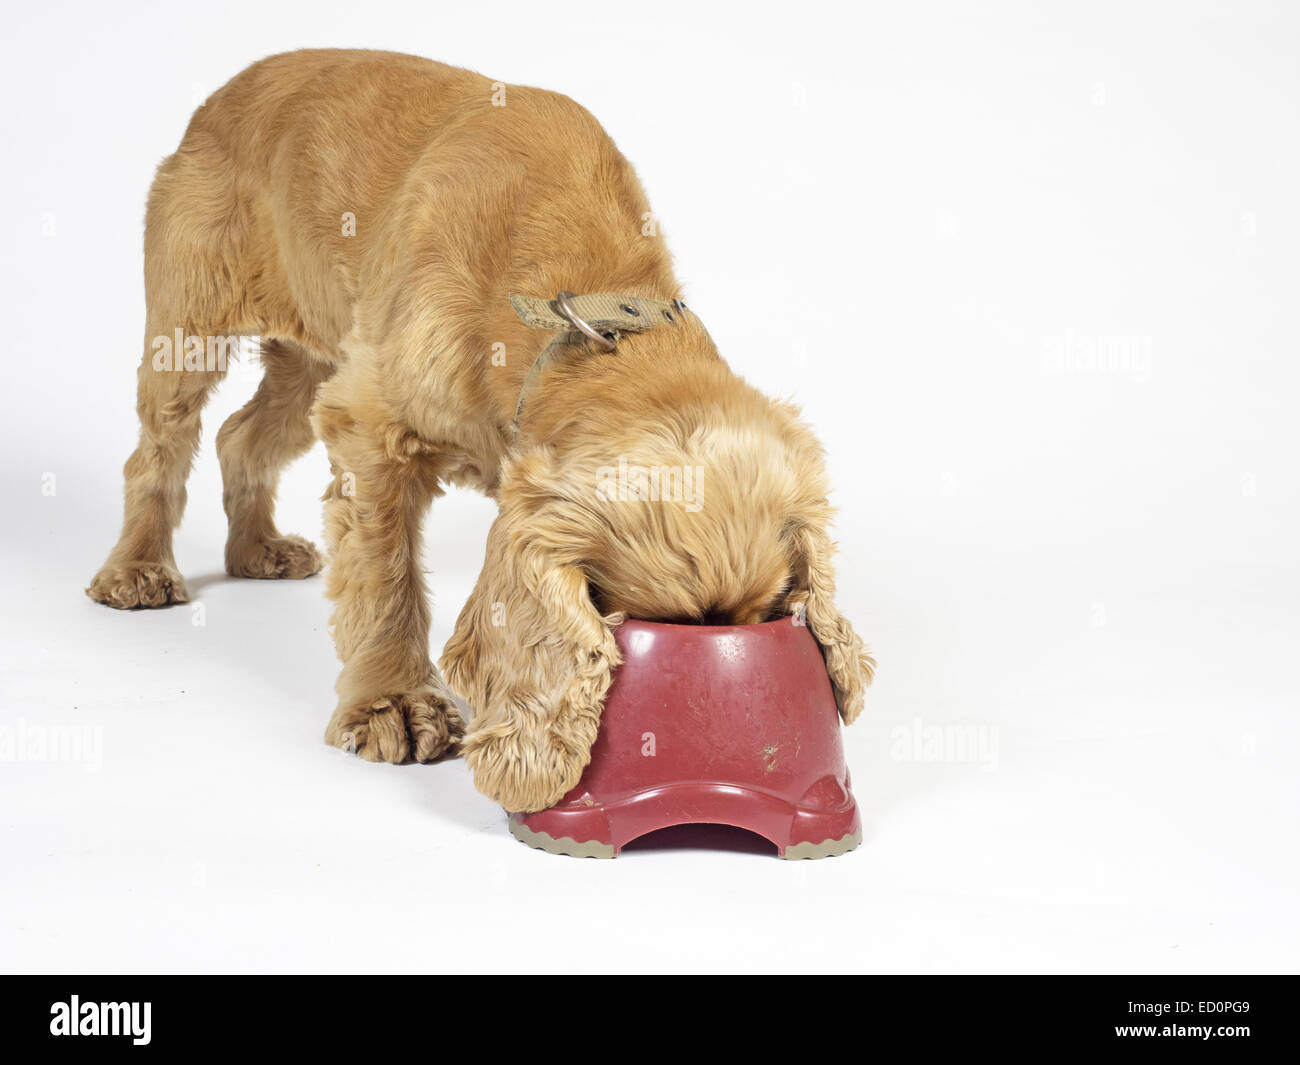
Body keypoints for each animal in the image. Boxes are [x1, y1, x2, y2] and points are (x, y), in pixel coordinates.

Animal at [86, 50, 878, 811]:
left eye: (772, 611)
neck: (581, 311)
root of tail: (224, 92)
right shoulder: (371, 423)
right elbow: (386, 576)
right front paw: (394, 703)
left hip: (312, 364)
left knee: (241, 435)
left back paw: (257, 550)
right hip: (190, 327)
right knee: (161, 448)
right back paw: (137, 569)